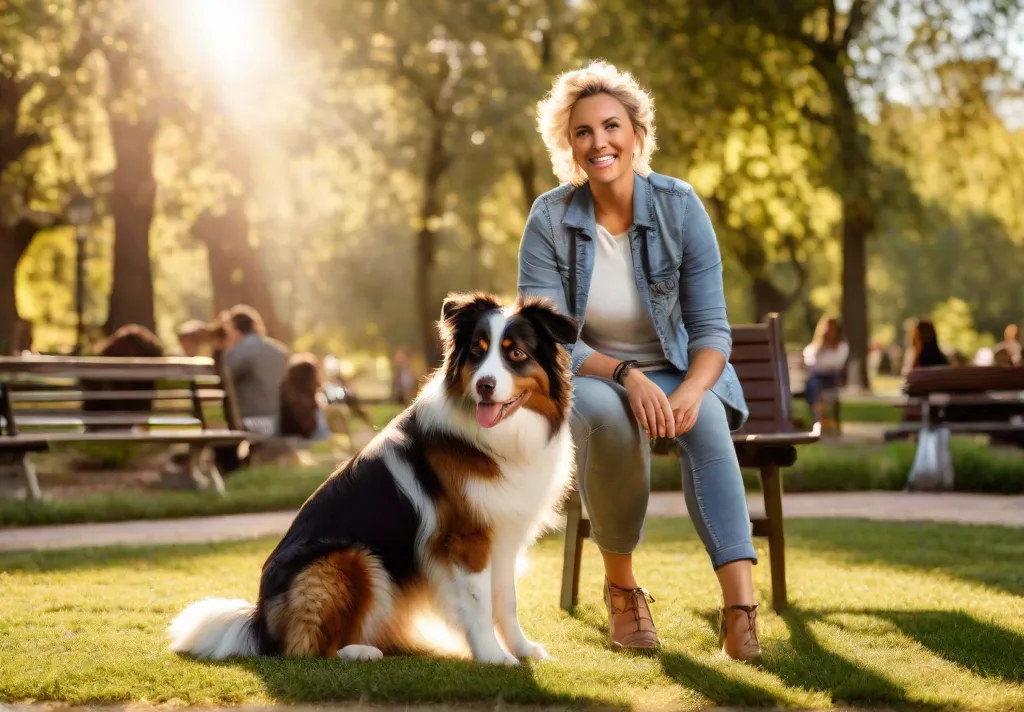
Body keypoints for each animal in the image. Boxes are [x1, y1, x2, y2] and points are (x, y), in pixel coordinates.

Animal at [172, 292, 581, 663]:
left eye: (516, 354)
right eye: (477, 353)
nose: (485, 386)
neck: (493, 439)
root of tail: (260, 620)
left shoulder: (503, 534)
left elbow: (506, 601)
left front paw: (523, 649)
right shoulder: (465, 539)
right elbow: (479, 604)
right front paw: (494, 658)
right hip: (350, 557)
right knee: (305, 649)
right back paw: (358, 652)